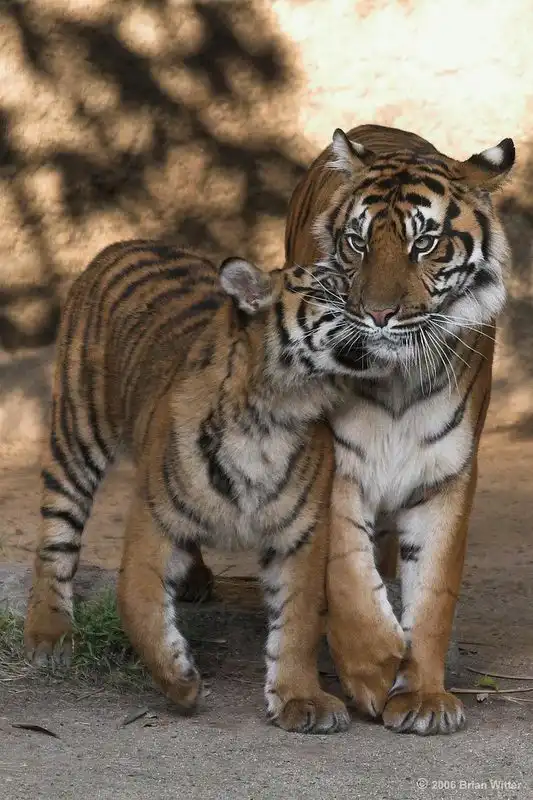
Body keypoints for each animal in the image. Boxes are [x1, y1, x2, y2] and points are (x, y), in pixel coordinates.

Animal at [22, 239, 381, 735]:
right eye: (334, 286)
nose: (387, 308)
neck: (271, 416)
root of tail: (127, 242)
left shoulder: (301, 532)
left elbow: (299, 620)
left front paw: (301, 699)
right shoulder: (153, 522)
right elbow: (138, 603)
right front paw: (180, 682)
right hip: (76, 431)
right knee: (56, 535)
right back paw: (49, 633)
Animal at [285, 123, 515, 735]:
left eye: (424, 244)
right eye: (359, 243)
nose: (379, 315)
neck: (398, 380)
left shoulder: (447, 476)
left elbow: (433, 592)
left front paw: (424, 697)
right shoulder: (338, 465)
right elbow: (346, 575)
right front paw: (372, 670)